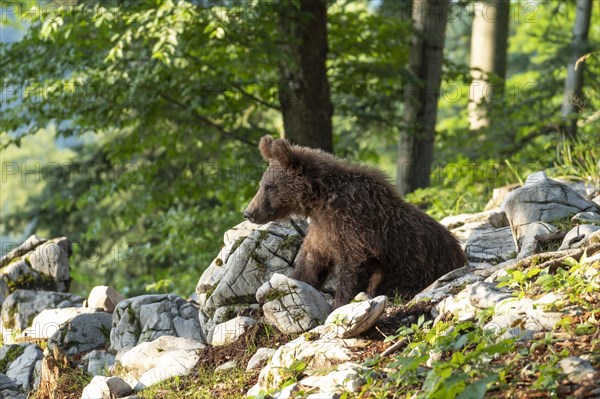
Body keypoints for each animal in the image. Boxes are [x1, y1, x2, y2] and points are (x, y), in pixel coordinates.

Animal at [243, 136, 464, 308]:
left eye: (269, 186)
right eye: (262, 184)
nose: (249, 212)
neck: (319, 202)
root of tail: (460, 256)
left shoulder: (354, 228)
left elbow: (353, 268)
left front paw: (339, 304)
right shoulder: (322, 232)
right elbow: (310, 264)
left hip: (418, 267)